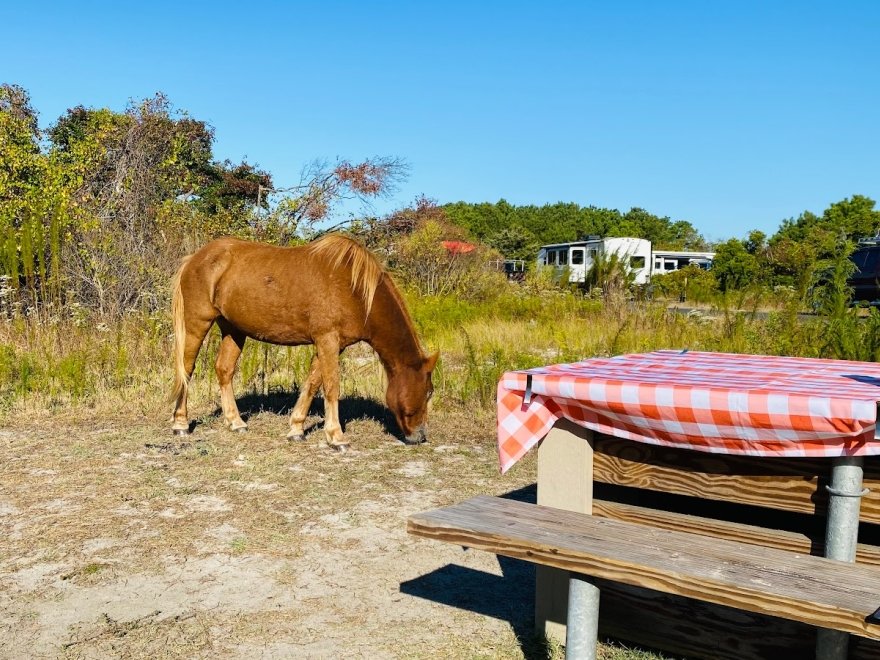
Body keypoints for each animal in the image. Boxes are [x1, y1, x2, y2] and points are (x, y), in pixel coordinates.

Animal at [168, 233, 436, 448]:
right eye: (428, 392)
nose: (420, 436)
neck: (356, 290)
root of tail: (194, 258)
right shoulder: (327, 340)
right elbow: (331, 387)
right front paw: (336, 437)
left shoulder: (332, 345)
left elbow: (313, 383)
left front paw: (296, 428)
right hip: (197, 324)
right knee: (187, 369)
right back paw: (180, 424)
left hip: (233, 329)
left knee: (224, 370)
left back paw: (236, 422)